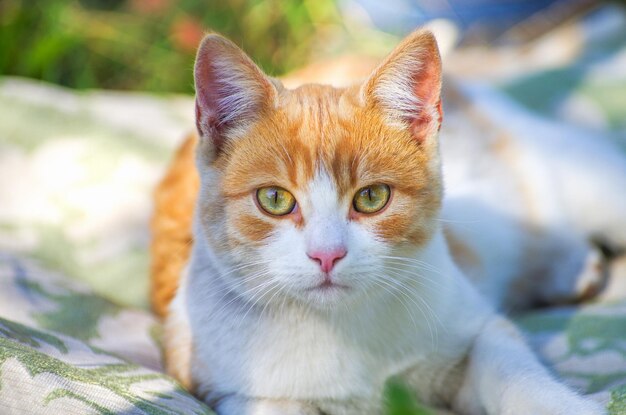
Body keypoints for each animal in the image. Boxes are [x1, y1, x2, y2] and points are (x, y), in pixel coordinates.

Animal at [149, 30, 620, 415]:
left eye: (372, 197)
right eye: (275, 199)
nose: (327, 255)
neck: (340, 328)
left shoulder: (475, 327)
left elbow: (513, 374)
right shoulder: (233, 388)